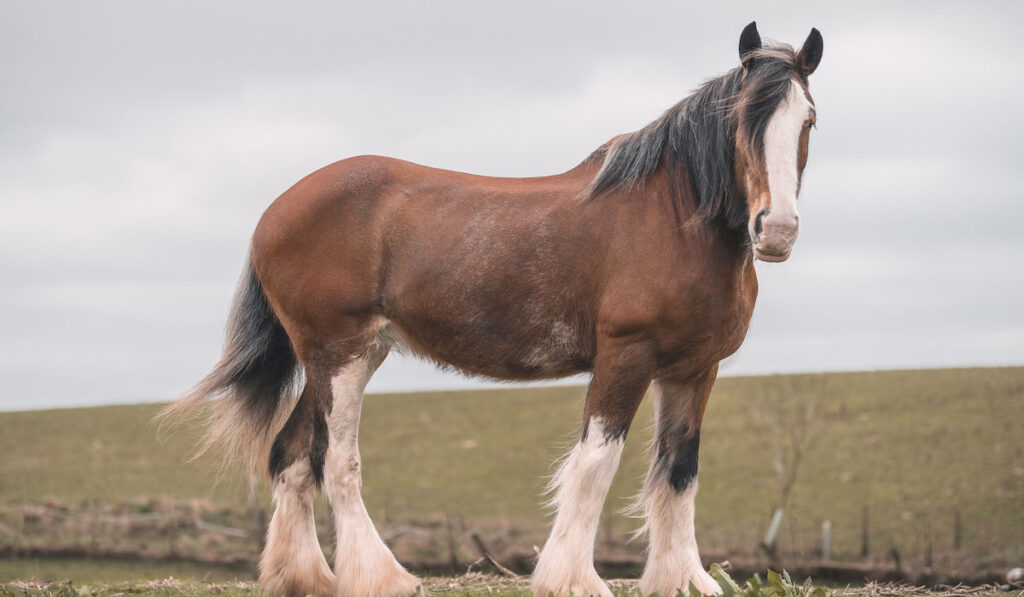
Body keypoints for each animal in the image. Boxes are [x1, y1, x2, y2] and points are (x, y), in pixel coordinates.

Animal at [167, 22, 823, 597]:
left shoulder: (693, 370)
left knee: (292, 457)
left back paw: (304, 578)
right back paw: (382, 577)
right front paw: (572, 580)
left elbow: (679, 471)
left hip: (340, 356)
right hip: (341, 354)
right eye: (740, 119)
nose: (777, 230)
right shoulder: (626, 357)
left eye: (808, 119)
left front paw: (683, 580)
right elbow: (595, 465)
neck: (673, 216)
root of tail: (274, 211)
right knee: (336, 461)